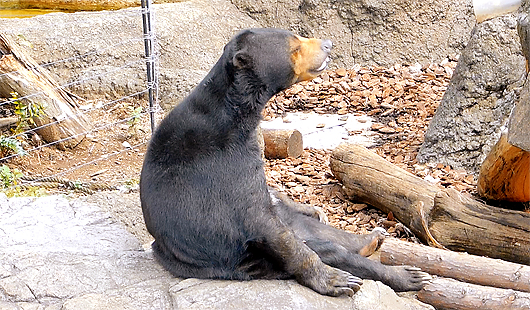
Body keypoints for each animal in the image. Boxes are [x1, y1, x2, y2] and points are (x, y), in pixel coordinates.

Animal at [140, 27, 428, 296]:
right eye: (296, 47)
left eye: (299, 36)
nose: (328, 44)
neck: (238, 113)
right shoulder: (226, 164)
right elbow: (260, 221)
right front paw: (336, 280)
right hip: (253, 259)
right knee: (324, 247)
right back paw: (406, 274)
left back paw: (371, 238)